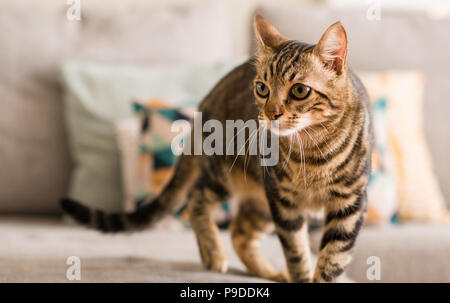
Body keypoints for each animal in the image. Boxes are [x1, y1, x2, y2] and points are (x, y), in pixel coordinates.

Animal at [63, 14, 372, 284]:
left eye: (299, 91)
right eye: (262, 88)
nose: (270, 114)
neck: (312, 150)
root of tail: (209, 96)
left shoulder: (350, 204)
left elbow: (333, 260)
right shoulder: (284, 204)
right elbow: (297, 253)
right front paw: (299, 273)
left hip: (260, 198)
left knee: (239, 232)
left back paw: (269, 272)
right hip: (229, 174)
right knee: (196, 200)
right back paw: (213, 253)